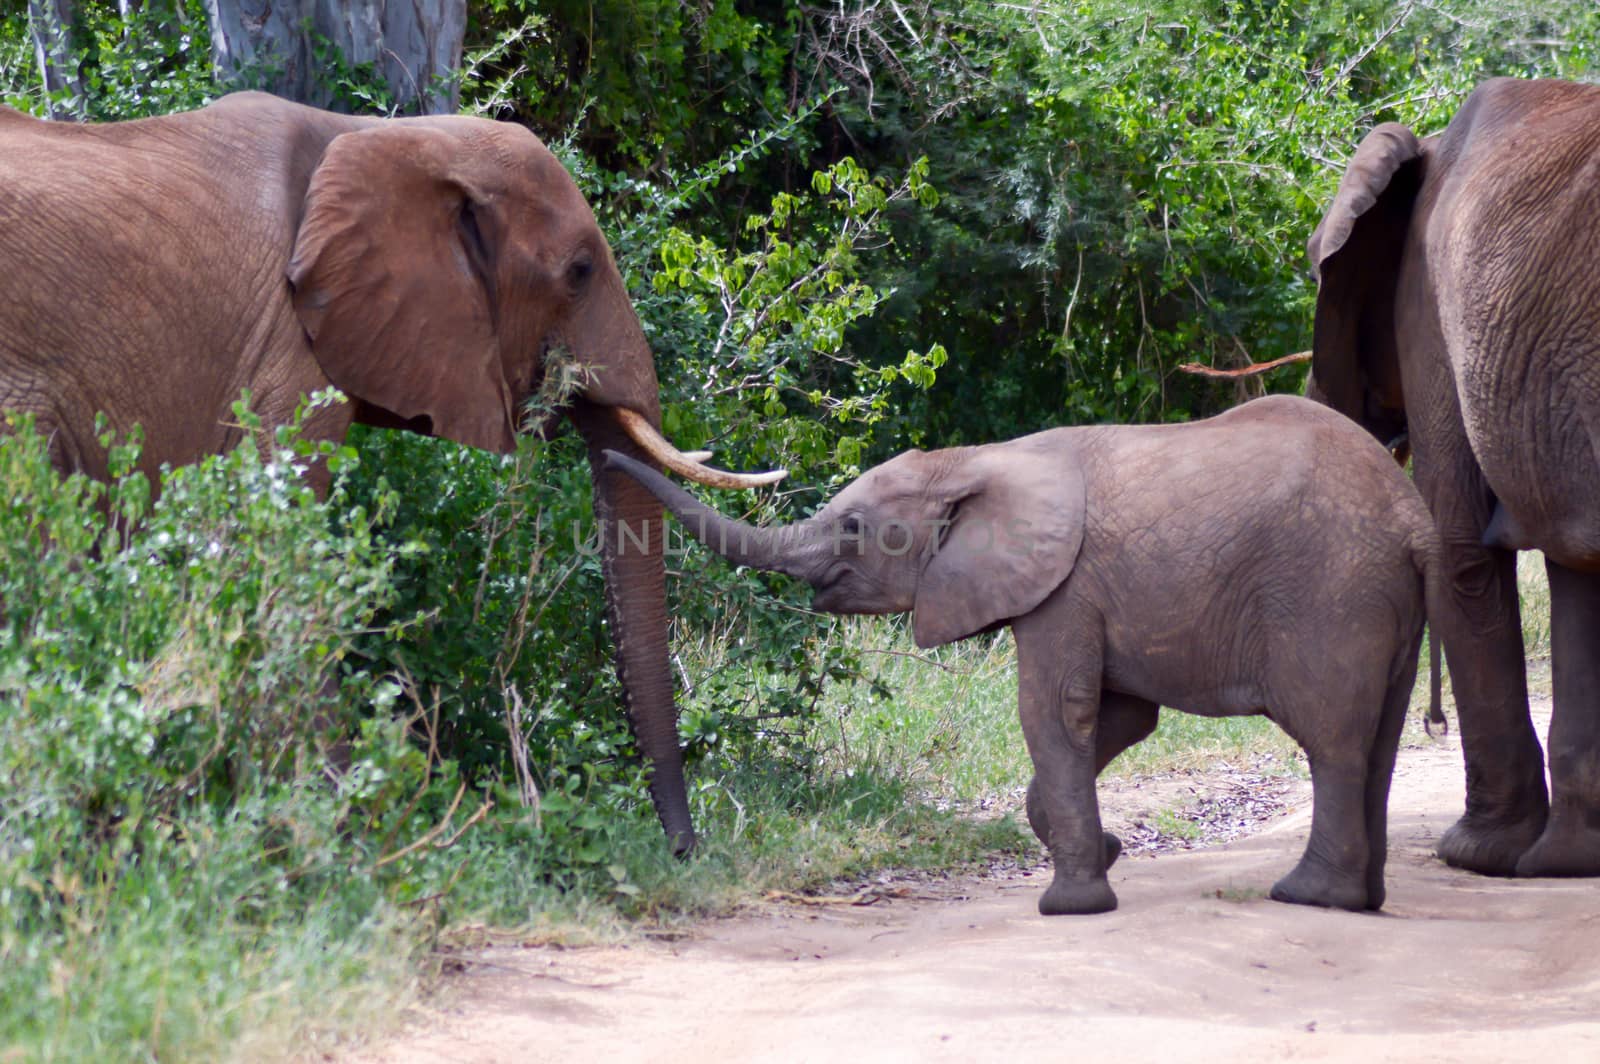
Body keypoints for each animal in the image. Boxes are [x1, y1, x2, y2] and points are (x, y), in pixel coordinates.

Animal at [0, 89, 780, 857]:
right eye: (581, 271)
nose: (684, 850)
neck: (380, 137)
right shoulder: (286, 355)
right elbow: (280, 547)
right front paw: (336, 829)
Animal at [604, 396, 1446, 915]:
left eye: (852, 528)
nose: (605, 454)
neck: (973, 460)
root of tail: (1416, 521)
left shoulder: (1063, 585)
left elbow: (1055, 711)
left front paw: (1070, 906)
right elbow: (1121, 718)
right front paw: (1106, 851)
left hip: (1332, 591)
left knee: (1331, 740)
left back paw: (1307, 897)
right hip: (1382, 598)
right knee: (1376, 741)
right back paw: (1358, 900)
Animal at [1305, 72, 1600, 870]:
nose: (1430, 725)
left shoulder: (1431, 314)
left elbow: (1463, 556)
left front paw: (1476, 854)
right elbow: (1573, 570)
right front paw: (1566, 861)